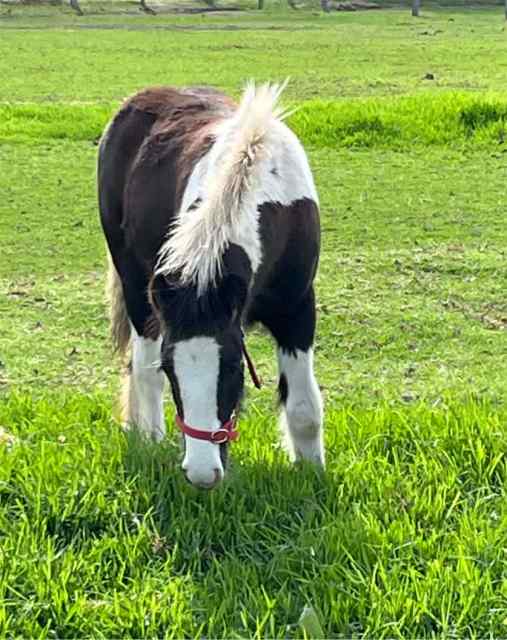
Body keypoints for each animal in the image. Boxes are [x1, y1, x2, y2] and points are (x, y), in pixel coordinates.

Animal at [97, 81, 324, 490]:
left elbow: (303, 408)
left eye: (234, 367)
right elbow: (150, 371)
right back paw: (149, 440)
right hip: (136, 287)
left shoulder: (297, 309)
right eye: (171, 368)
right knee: (141, 369)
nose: (202, 474)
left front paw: (313, 475)